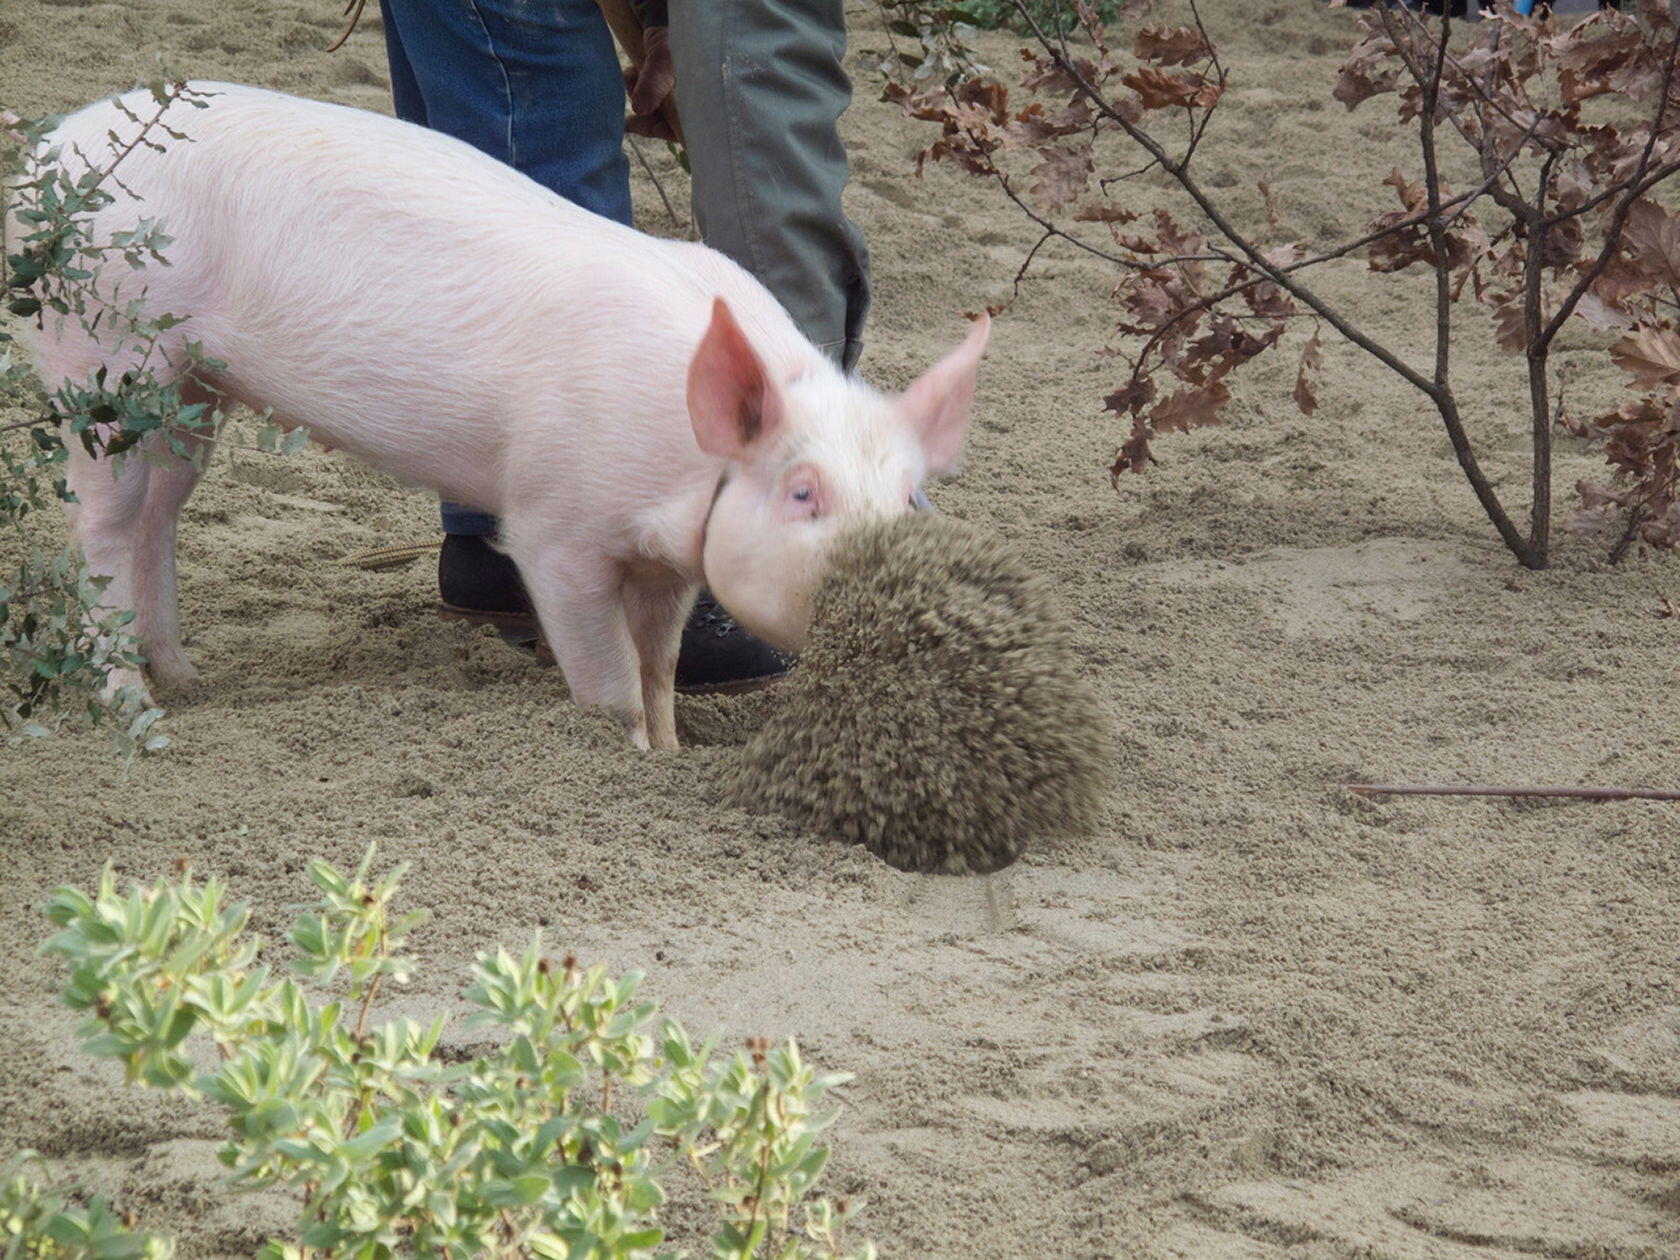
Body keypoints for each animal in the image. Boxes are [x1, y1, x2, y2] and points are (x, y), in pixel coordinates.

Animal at [9, 86, 981, 749]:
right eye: (803, 492)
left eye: (911, 499)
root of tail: (45, 156)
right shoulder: (554, 530)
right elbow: (610, 680)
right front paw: (626, 754)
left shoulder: (672, 565)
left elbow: (662, 667)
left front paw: (671, 751)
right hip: (101, 356)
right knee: (100, 524)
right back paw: (134, 703)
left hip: (191, 388)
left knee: (161, 513)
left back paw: (187, 678)